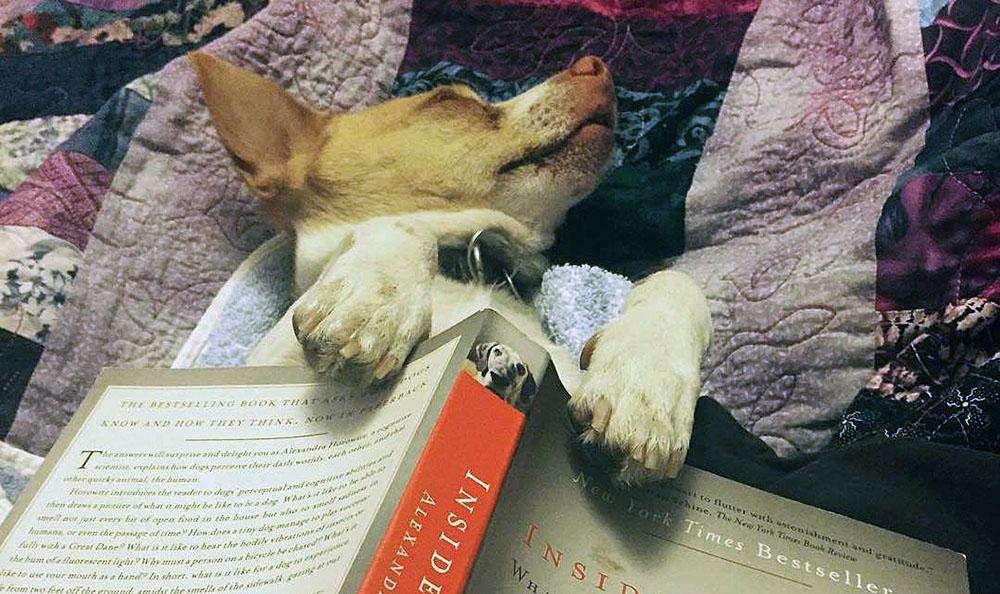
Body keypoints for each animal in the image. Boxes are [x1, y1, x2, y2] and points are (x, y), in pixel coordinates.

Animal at [189, 52, 712, 483]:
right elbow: (405, 226)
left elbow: (679, 280)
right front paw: (376, 298)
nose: (596, 64)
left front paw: (645, 385)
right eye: (446, 101)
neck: (475, 268)